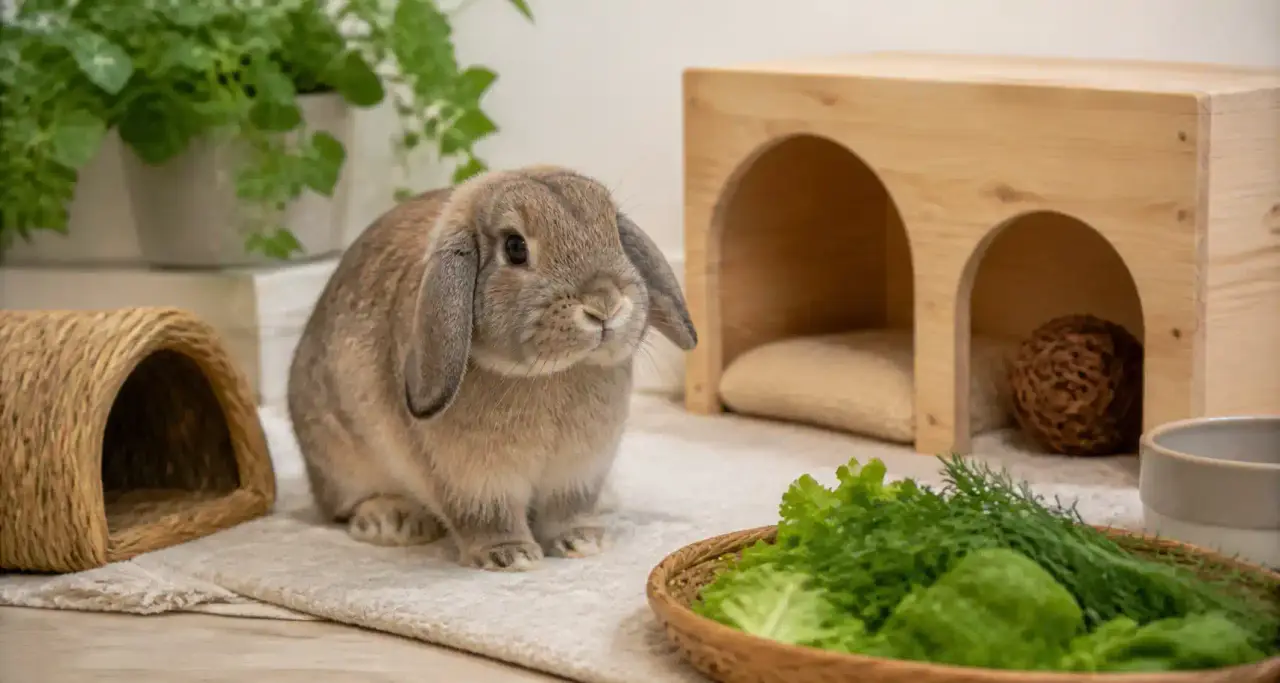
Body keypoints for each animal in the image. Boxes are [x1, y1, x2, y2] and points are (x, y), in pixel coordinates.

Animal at [286, 165, 697, 571]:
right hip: (342, 458)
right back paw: (391, 522)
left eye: (612, 229)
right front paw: (512, 555)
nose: (605, 304)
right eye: (515, 248)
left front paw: (583, 541)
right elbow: (488, 517)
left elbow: (568, 511)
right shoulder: (473, 482)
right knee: (344, 507)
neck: (548, 374)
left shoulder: (578, 472)